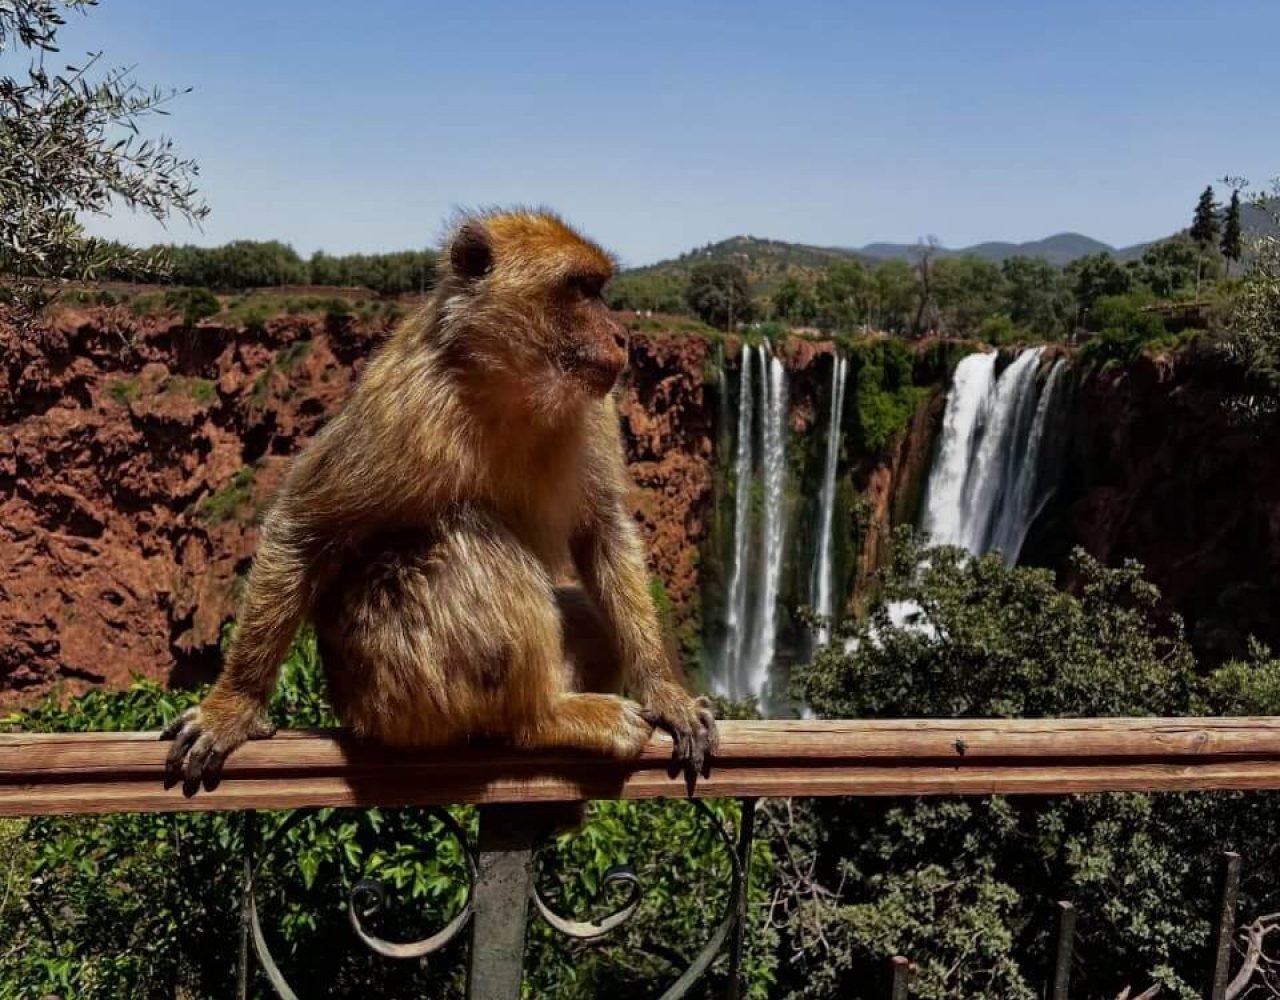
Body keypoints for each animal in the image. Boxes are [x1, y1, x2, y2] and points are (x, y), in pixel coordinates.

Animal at [162, 209, 718, 792]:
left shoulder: (599, 406)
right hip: (400, 695)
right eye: (580, 290)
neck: (510, 384)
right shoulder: (401, 406)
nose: (621, 336)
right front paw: (234, 706)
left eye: (599, 290)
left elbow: (603, 532)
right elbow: (304, 526)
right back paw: (540, 719)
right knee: (469, 537)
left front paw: (666, 693)